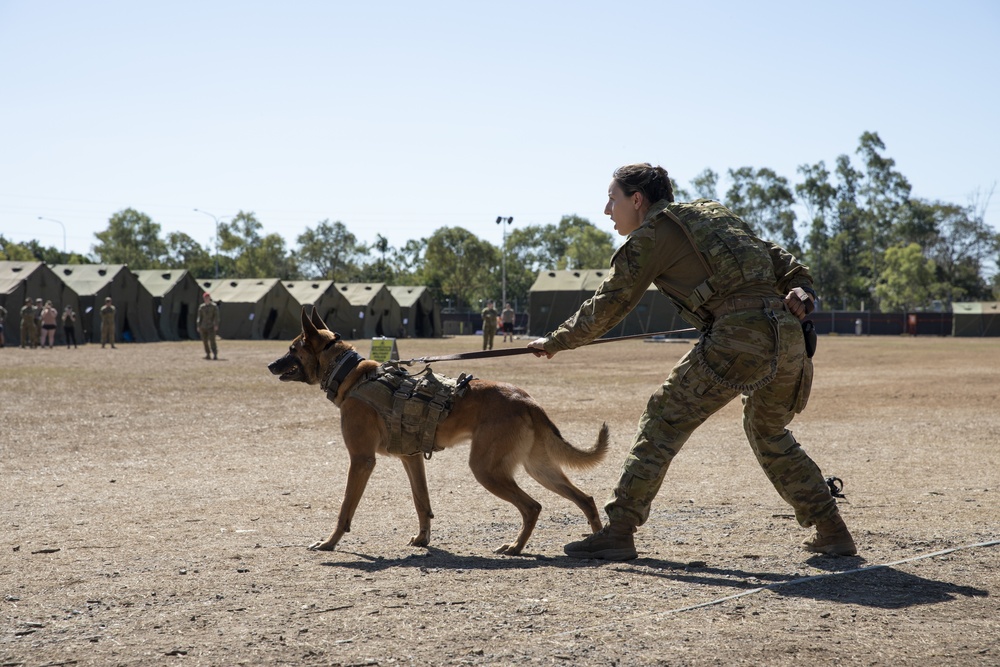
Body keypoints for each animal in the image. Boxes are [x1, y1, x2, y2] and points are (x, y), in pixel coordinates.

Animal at [268, 310, 608, 556]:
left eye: (292, 348)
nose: (271, 364)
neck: (353, 377)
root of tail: (526, 400)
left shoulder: (362, 460)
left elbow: (345, 510)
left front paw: (329, 542)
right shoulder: (412, 458)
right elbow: (422, 503)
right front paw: (423, 539)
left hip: (487, 470)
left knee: (533, 506)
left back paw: (516, 547)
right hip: (538, 468)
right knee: (586, 499)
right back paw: (599, 542)